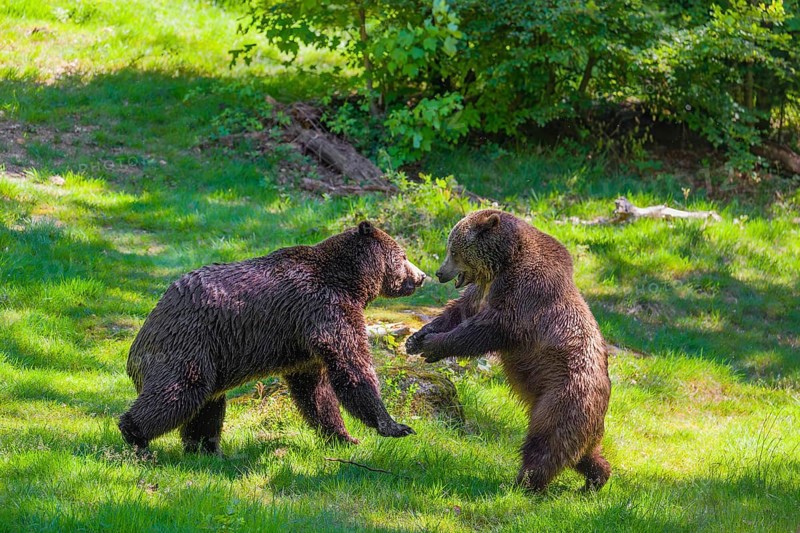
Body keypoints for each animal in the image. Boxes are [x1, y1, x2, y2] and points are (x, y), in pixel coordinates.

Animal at [119, 221, 425, 454]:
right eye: (403, 256)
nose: (422, 277)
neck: (350, 282)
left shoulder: (303, 345)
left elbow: (315, 392)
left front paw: (344, 436)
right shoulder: (324, 309)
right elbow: (352, 364)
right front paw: (395, 425)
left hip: (210, 358)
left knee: (208, 405)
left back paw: (206, 448)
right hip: (190, 341)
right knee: (179, 391)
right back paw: (135, 434)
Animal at [406, 209, 611, 492]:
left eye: (454, 251)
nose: (439, 273)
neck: (504, 262)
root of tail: (604, 399)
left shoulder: (525, 293)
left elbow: (489, 328)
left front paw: (433, 345)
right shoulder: (483, 289)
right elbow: (460, 310)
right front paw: (417, 337)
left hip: (563, 397)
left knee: (547, 443)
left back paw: (522, 483)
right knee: (583, 453)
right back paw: (596, 478)